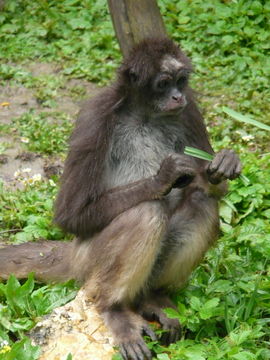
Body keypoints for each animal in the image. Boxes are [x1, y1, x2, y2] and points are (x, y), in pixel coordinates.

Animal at [0, 38, 240, 358]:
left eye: (180, 81)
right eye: (163, 83)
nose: (177, 96)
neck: (146, 114)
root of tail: (74, 255)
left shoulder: (190, 110)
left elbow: (209, 185)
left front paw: (222, 165)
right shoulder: (96, 115)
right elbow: (70, 215)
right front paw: (163, 177)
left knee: (201, 203)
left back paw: (151, 298)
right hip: (90, 260)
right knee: (146, 211)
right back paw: (112, 307)